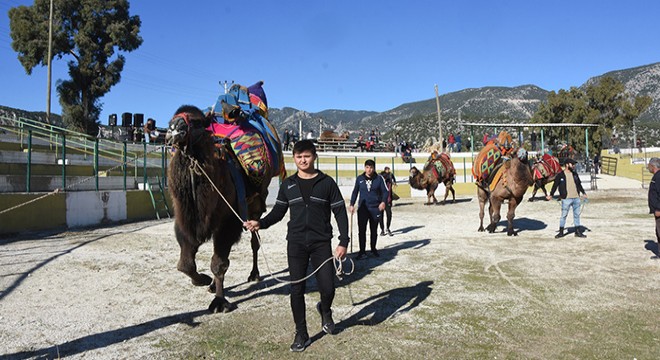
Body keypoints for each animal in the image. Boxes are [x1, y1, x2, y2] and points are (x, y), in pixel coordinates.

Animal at [168, 104, 276, 312]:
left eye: (197, 122)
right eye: (172, 118)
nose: (174, 128)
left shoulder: (228, 222)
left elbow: (219, 264)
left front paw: (219, 302)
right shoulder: (186, 222)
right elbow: (185, 264)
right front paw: (202, 280)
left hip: (255, 207)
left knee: (254, 242)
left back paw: (254, 274)